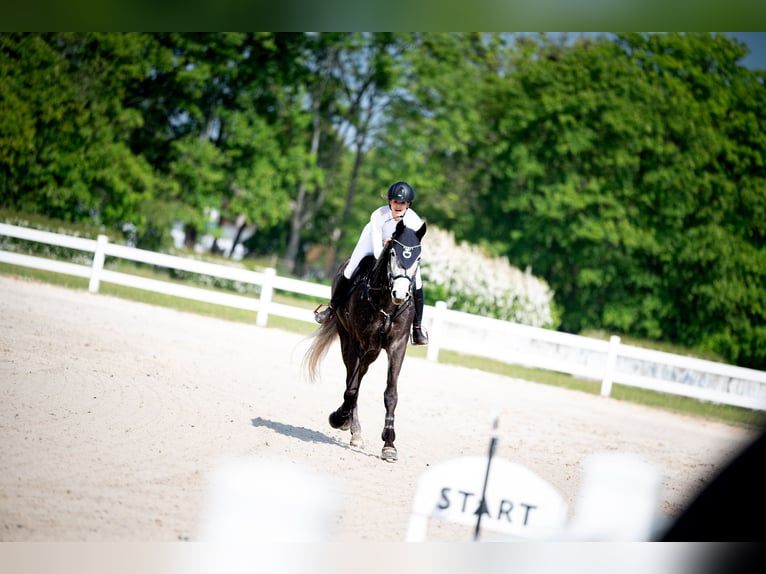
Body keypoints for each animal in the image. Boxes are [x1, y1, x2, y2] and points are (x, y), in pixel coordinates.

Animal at [304, 220, 426, 464]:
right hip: (349, 341)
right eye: (393, 254)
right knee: (352, 381)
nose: (400, 293)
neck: (386, 303)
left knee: (359, 377)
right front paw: (339, 418)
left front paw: (389, 444)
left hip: (372, 352)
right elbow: (352, 389)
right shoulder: (359, 342)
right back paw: (350, 425)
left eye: (418, 258)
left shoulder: (397, 347)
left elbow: (391, 393)